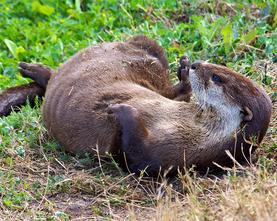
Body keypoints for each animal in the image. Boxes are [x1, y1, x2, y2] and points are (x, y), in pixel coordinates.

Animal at [0, 35, 272, 175]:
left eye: (216, 77)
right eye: (220, 68)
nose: (196, 64)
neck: (196, 130)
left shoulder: (167, 156)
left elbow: (133, 154)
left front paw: (121, 110)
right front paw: (185, 69)